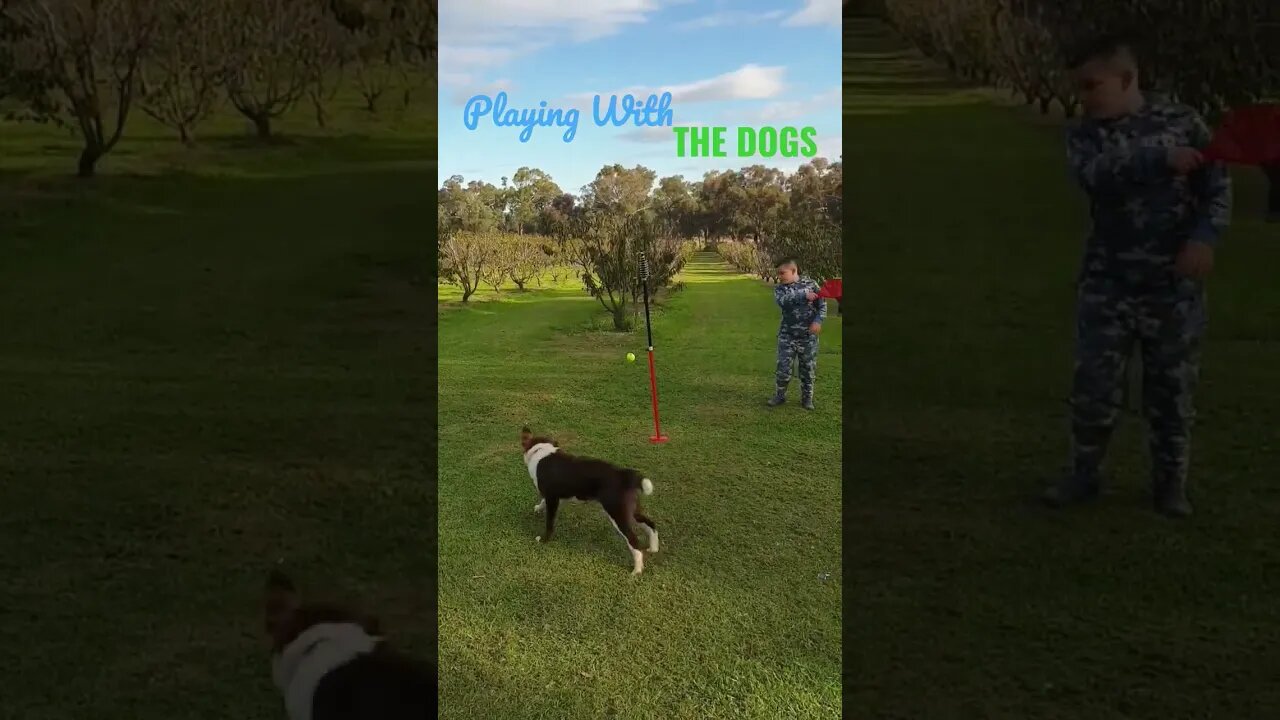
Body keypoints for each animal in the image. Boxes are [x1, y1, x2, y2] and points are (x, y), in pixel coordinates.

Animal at [519, 425, 660, 571]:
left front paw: (544, 540)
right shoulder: (558, 497)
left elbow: (549, 523)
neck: (541, 450)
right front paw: (538, 508)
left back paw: (636, 570)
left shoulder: (552, 498)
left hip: (617, 513)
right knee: (650, 524)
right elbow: (543, 502)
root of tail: (624, 475)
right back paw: (653, 548)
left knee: (634, 541)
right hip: (631, 510)